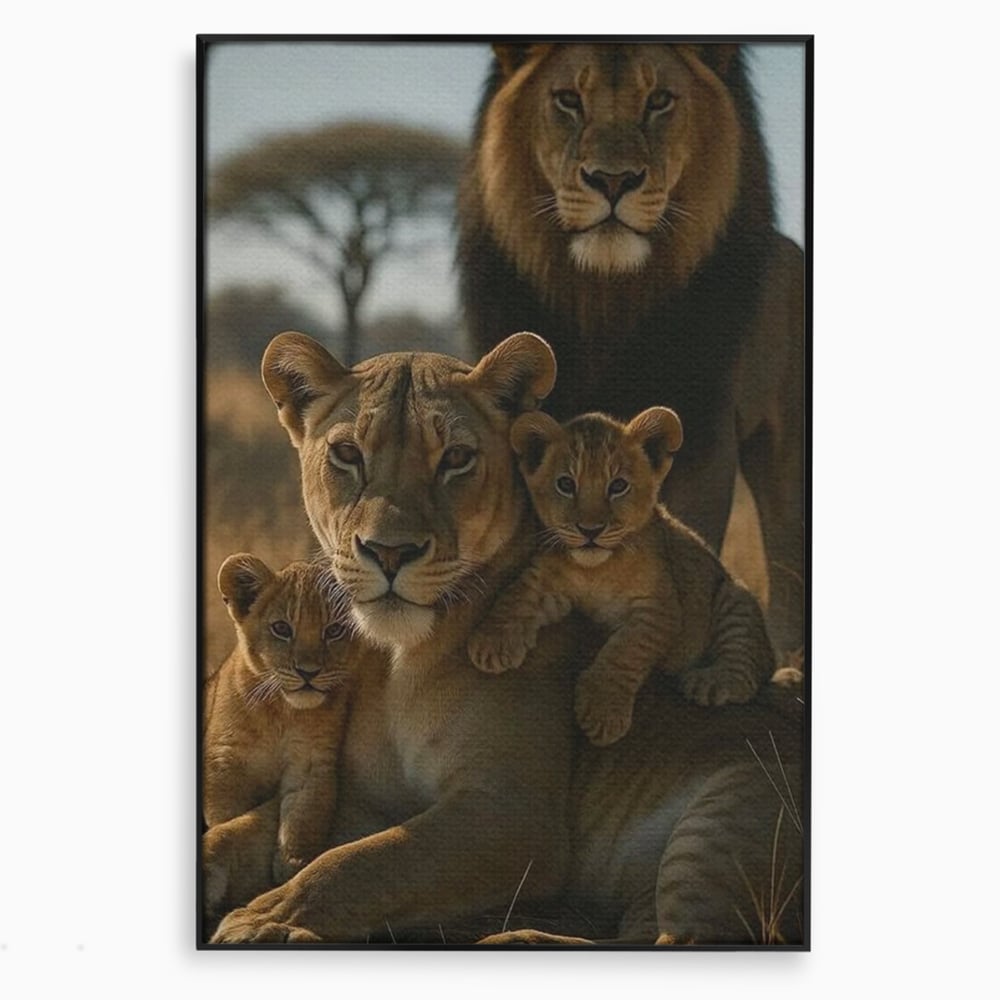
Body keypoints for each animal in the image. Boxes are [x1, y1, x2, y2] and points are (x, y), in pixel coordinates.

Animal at [468, 408, 775, 747]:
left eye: (617, 486)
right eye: (566, 484)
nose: (590, 530)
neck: (596, 570)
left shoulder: (661, 609)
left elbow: (625, 651)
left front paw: (602, 714)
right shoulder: (546, 582)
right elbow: (516, 596)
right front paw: (491, 643)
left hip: (735, 599)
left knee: (749, 667)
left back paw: (707, 681)